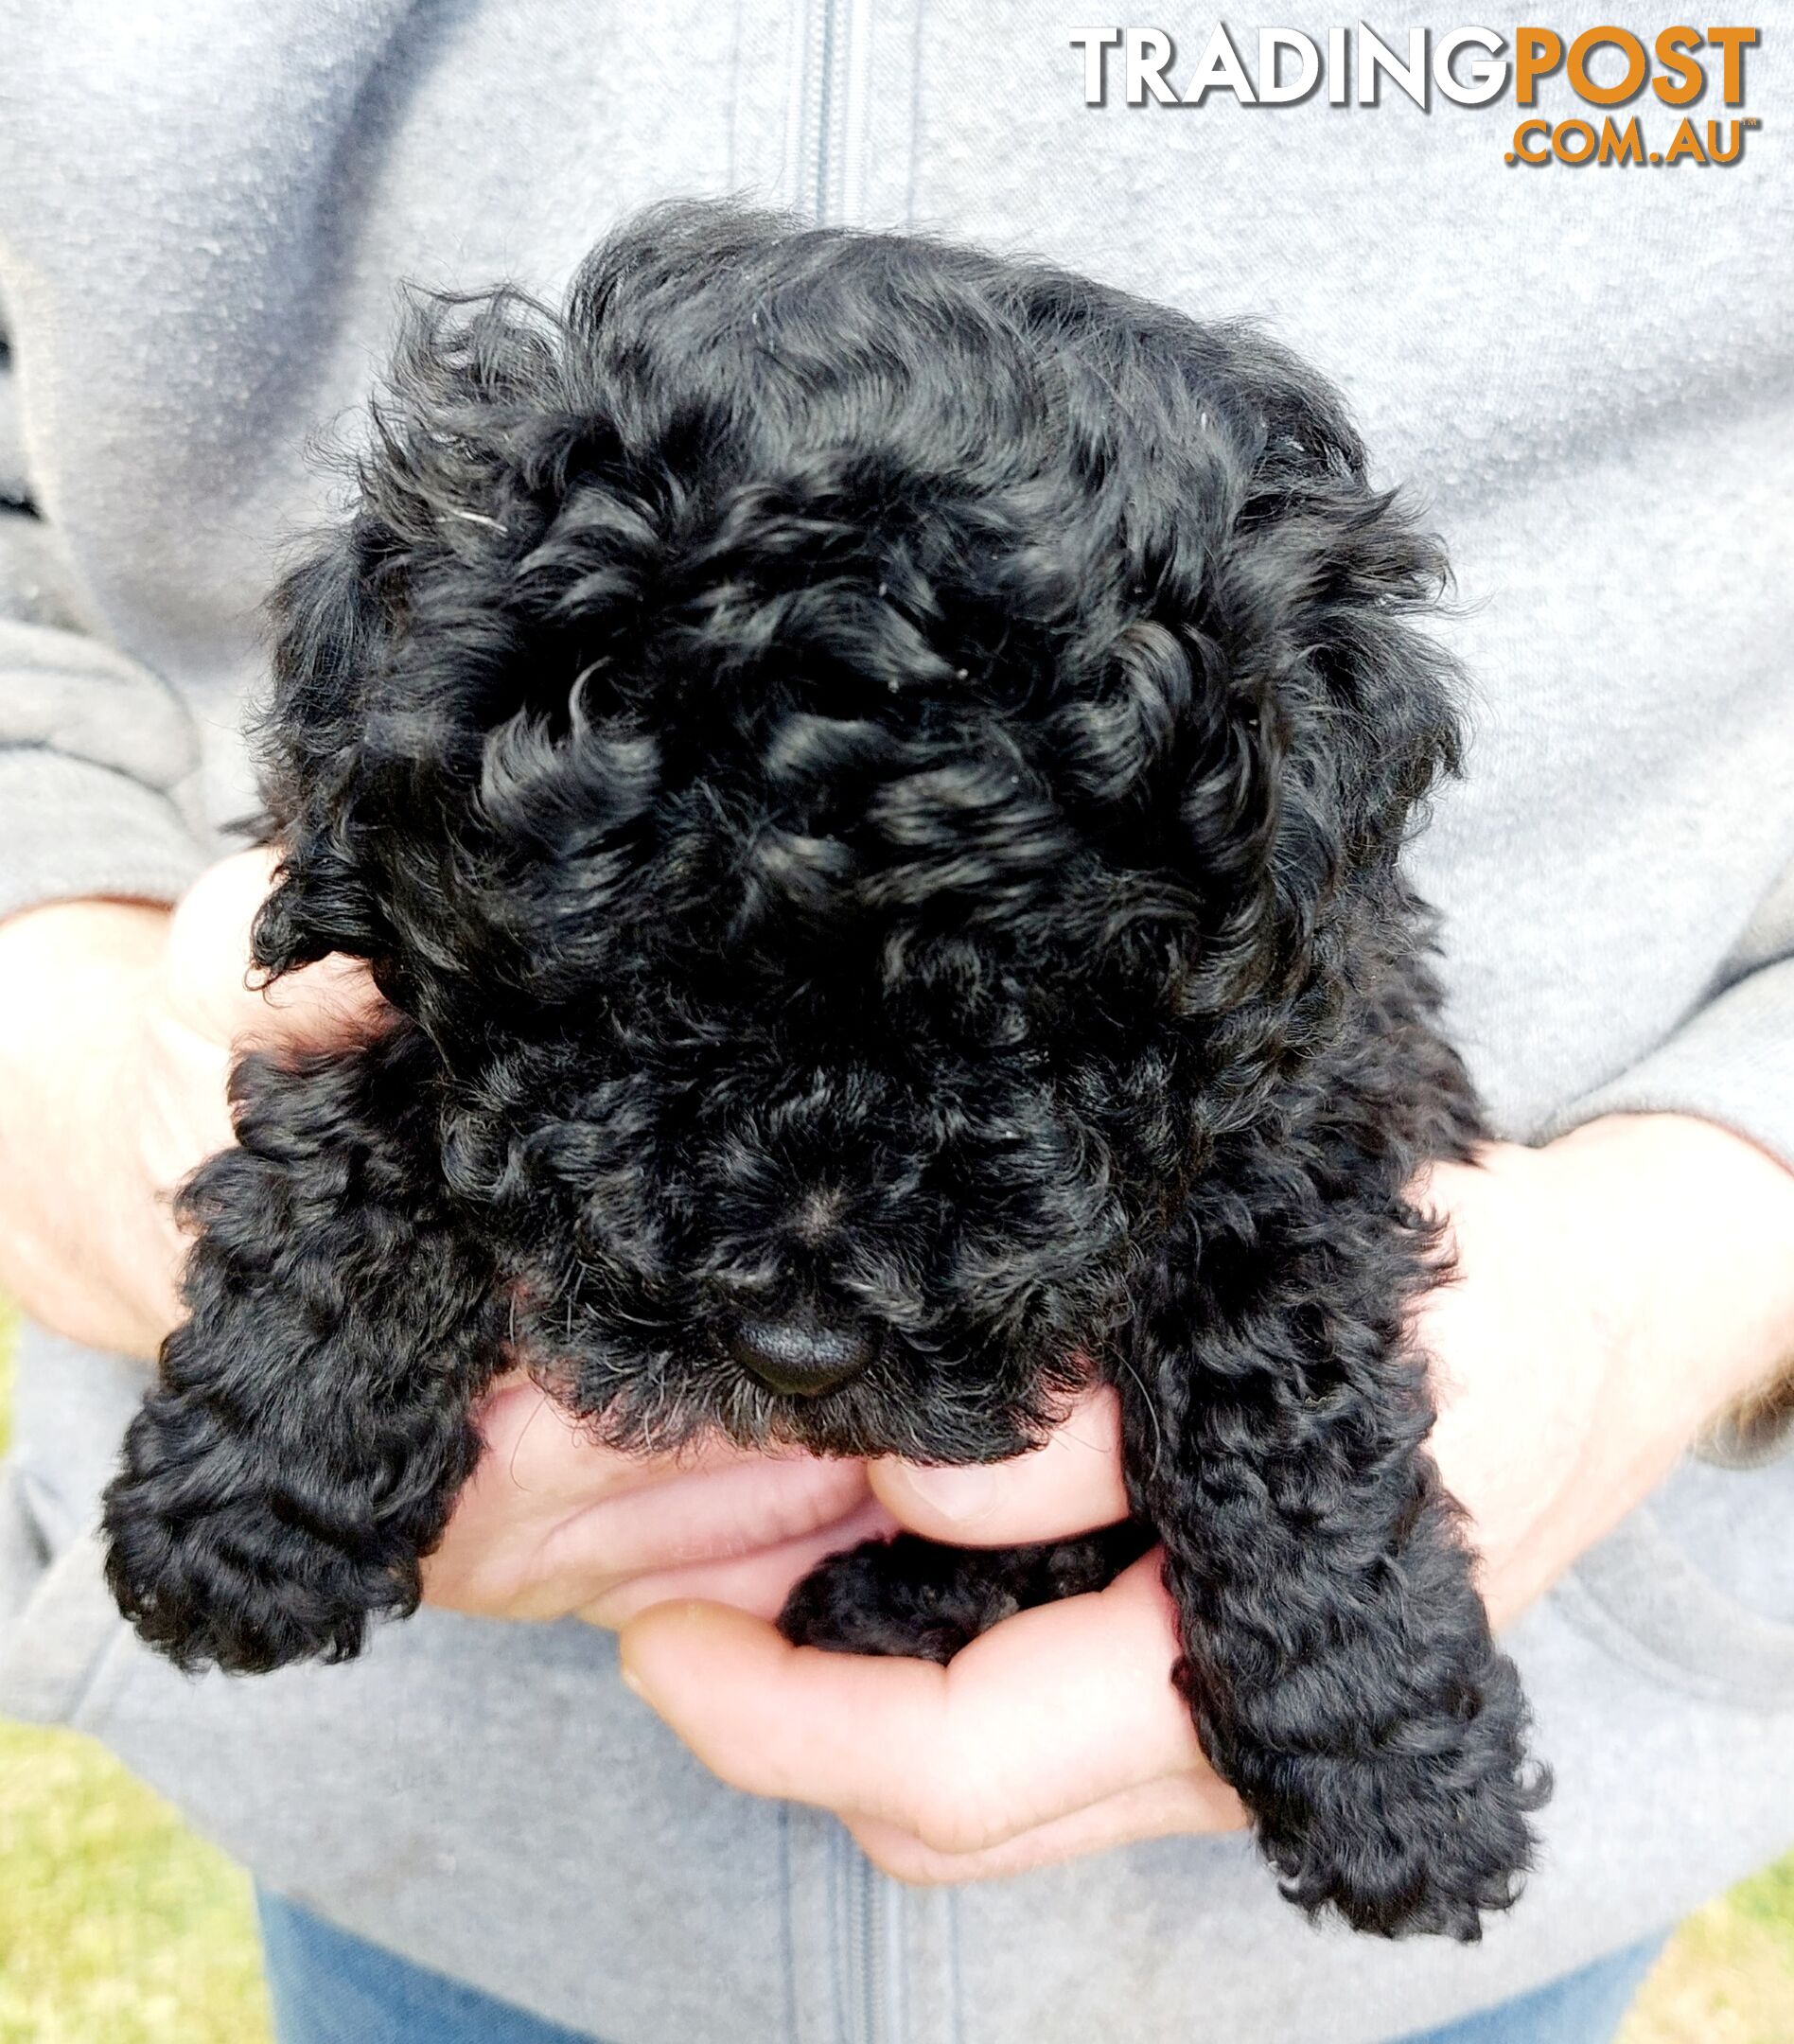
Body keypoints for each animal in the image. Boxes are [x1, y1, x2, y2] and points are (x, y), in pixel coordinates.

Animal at [108, 207, 1544, 1946]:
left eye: (1034, 1024)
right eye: (628, 999)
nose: (799, 1351)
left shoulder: (1323, 1073)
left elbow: (1281, 1386)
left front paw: (1391, 1754)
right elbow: (385, 1128)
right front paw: (252, 1490)